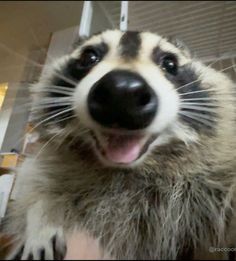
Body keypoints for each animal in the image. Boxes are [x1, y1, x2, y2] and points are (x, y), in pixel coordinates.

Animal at [3, 30, 236, 258]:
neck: (127, 170)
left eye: (170, 63)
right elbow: (33, 184)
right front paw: (41, 219)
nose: (122, 92)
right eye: (89, 57)